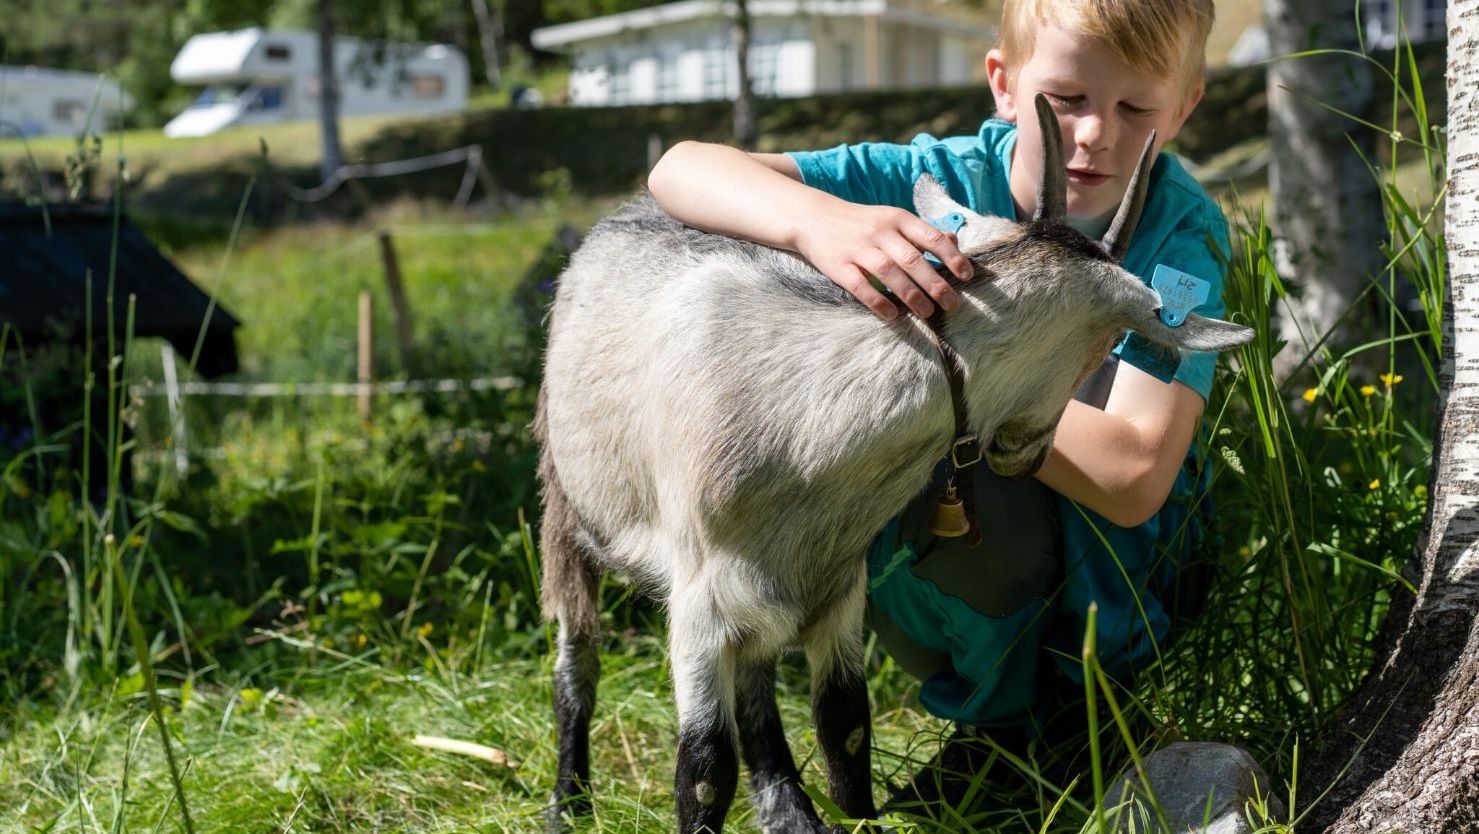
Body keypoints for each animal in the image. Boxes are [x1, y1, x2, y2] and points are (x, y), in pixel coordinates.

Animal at [538, 94, 1254, 828]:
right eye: (1108, 344)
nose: (1029, 453)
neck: (807, 428)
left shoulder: (834, 585)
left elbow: (845, 725)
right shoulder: (697, 598)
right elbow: (706, 769)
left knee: (757, 677)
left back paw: (788, 808)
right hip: (564, 500)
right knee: (577, 656)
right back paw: (569, 801)